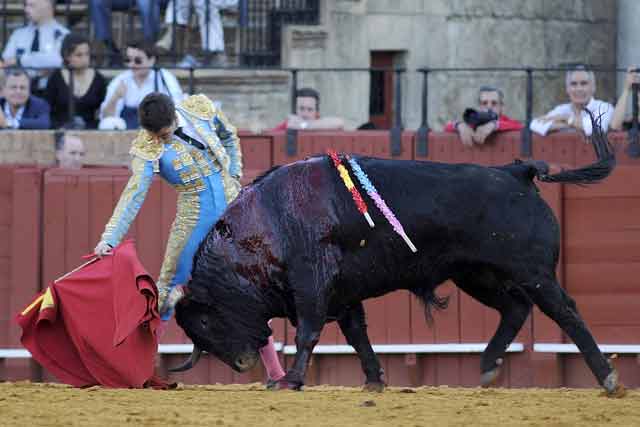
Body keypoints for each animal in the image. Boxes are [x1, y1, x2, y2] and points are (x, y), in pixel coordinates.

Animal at [172, 130, 624, 394]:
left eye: (207, 320)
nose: (242, 363)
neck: (266, 224)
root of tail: (518, 172)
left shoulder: (313, 283)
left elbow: (307, 332)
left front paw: (293, 381)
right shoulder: (343, 293)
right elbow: (357, 334)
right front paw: (373, 382)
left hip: (533, 273)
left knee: (565, 312)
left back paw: (608, 378)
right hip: (477, 275)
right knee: (514, 308)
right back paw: (487, 367)